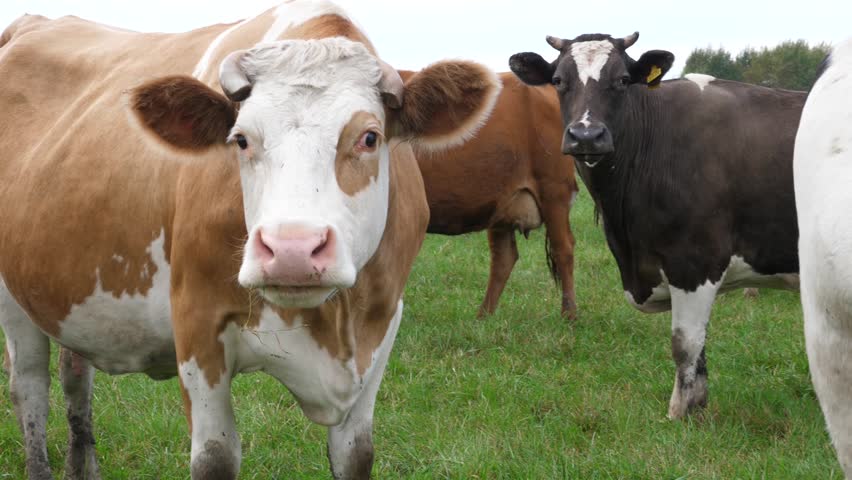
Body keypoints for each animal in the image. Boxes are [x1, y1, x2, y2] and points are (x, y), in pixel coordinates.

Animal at [0, 1, 501, 478]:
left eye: (370, 137)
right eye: (240, 139)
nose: (292, 250)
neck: (332, 324)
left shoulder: (381, 325)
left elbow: (357, 455)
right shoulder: (197, 326)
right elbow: (215, 458)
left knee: (74, 377)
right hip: (13, 302)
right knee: (30, 389)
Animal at [402, 70, 579, 319]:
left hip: (554, 192)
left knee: (563, 249)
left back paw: (569, 315)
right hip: (502, 204)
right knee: (504, 257)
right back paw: (483, 318)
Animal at [509, 32, 804, 419]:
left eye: (622, 80)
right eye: (558, 80)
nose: (586, 135)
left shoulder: (696, 262)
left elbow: (685, 345)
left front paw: (679, 415)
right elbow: (699, 352)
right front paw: (696, 411)